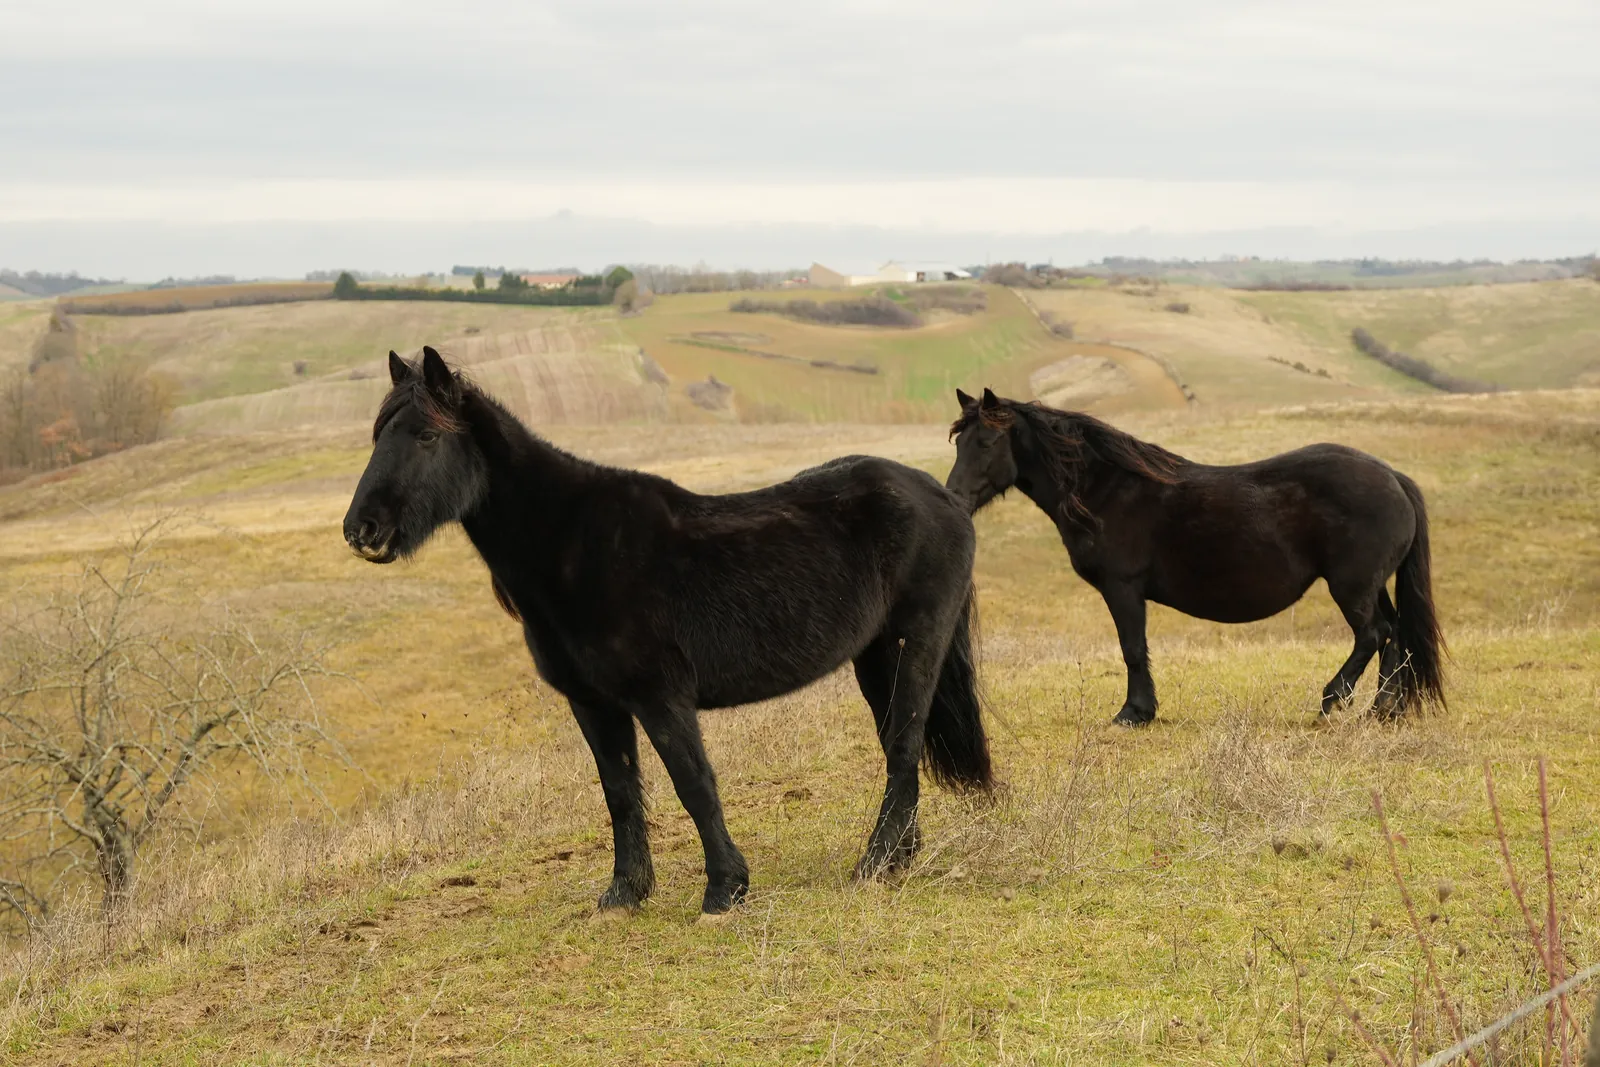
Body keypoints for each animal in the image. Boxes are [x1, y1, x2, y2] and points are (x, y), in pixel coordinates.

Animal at [343, 347, 991, 916]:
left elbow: (693, 784)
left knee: (904, 745)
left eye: (426, 436)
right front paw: (624, 894)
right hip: (875, 656)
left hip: (918, 643)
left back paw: (873, 865)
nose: (362, 529)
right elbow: (620, 792)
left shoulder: (660, 697)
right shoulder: (593, 703)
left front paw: (725, 891)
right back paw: (896, 859)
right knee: (898, 747)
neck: (572, 548)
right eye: (378, 435)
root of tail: (943, 496)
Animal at [945, 388, 1444, 726]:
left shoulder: (1123, 588)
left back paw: (1333, 700)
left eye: (987, 442)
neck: (1105, 489)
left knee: (1373, 633)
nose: (953, 500)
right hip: (1372, 585)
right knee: (1394, 633)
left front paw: (1134, 712)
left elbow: (1132, 648)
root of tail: (1392, 476)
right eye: (958, 441)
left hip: (1351, 586)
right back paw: (1384, 709)